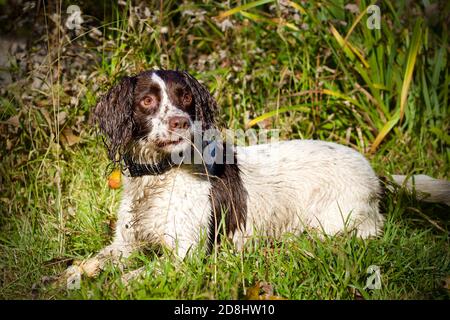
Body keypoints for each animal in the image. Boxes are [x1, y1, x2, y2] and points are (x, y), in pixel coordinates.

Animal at [60, 69, 450, 282]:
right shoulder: (126, 244)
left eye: (185, 97)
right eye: (146, 101)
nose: (181, 122)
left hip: (334, 222)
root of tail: (373, 172)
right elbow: (91, 262)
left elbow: (130, 279)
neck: (160, 173)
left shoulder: (185, 256)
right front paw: (72, 275)